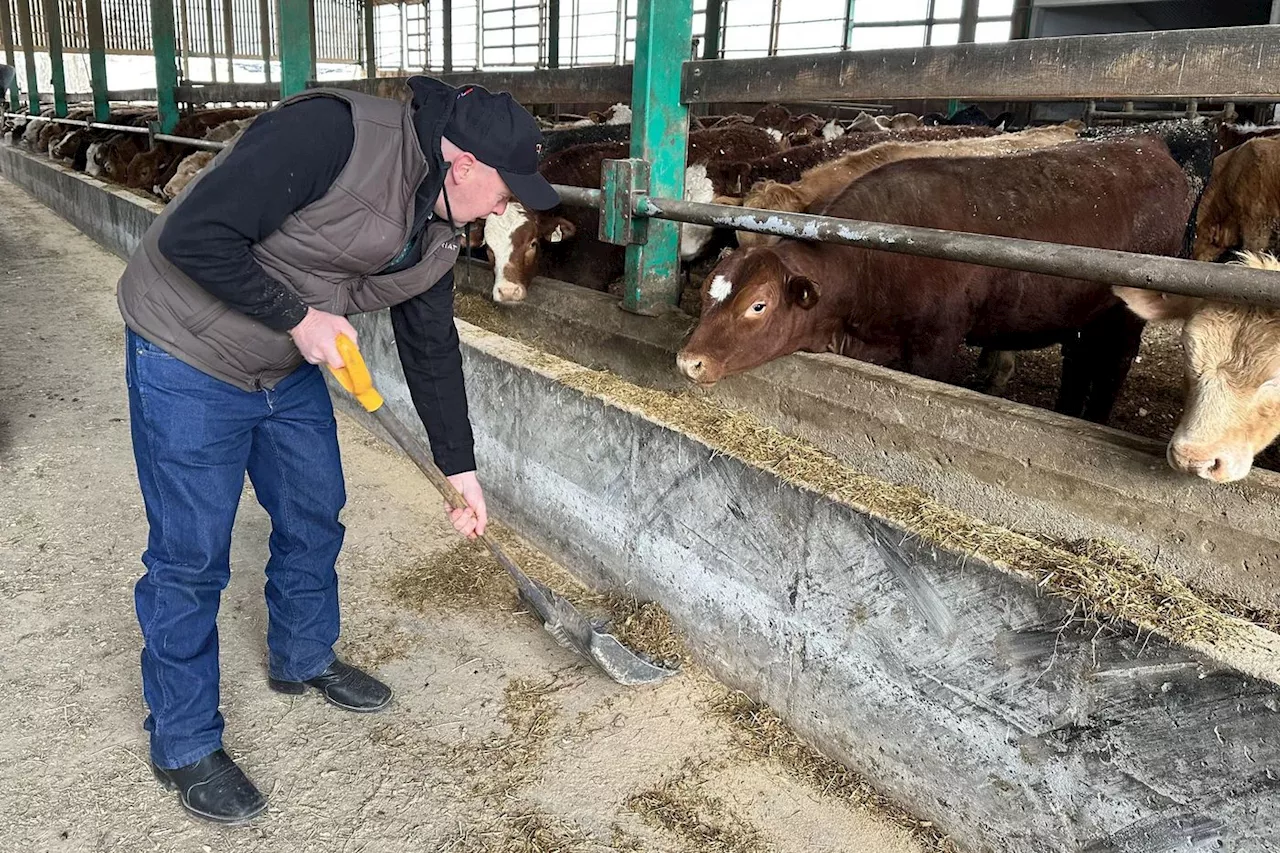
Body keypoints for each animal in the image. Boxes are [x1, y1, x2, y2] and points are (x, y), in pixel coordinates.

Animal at [680, 135, 1187, 422]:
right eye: (708, 292)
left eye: (758, 305)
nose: (690, 361)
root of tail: (1148, 147)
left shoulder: (936, 343)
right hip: (1082, 317)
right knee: (1078, 366)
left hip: (1126, 317)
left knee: (1112, 369)